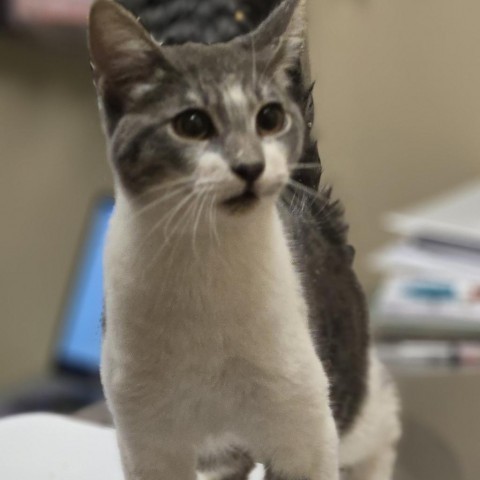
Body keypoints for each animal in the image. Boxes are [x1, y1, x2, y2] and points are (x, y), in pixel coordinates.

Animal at [87, 0, 402, 480]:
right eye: (192, 123)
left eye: (269, 117)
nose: (250, 166)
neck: (205, 261)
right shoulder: (147, 440)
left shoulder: (305, 430)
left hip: (346, 388)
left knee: (380, 422)